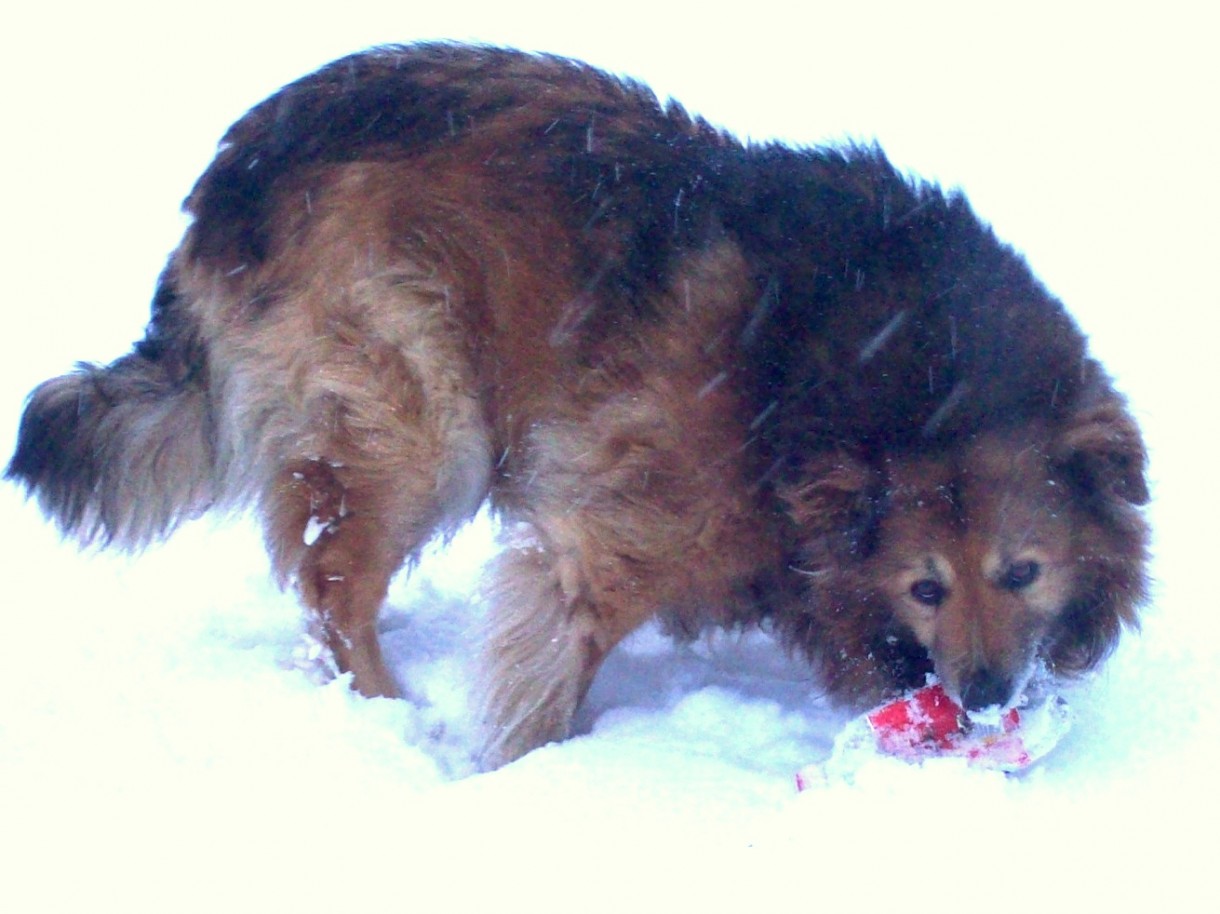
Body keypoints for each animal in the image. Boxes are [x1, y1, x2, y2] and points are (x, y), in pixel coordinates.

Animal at [9, 44, 1146, 771]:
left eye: (1021, 572)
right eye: (923, 585)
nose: (985, 694)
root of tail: (231, 172)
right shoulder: (611, 532)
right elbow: (551, 665)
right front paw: (532, 776)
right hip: (415, 419)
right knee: (335, 584)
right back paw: (389, 715)